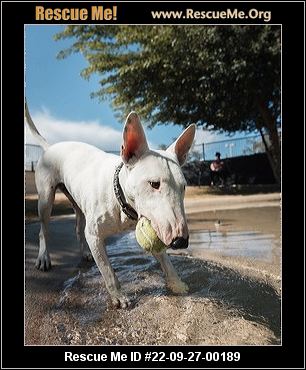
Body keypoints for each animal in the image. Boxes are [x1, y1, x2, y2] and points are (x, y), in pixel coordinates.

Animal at [24, 102, 196, 308]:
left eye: (183, 187)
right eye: (154, 184)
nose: (181, 241)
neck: (121, 200)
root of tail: (50, 147)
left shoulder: (154, 223)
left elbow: (165, 260)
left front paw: (177, 283)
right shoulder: (95, 235)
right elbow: (107, 270)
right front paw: (119, 296)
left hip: (77, 203)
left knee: (78, 228)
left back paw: (85, 253)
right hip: (45, 199)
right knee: (44, 230)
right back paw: (43, 257)